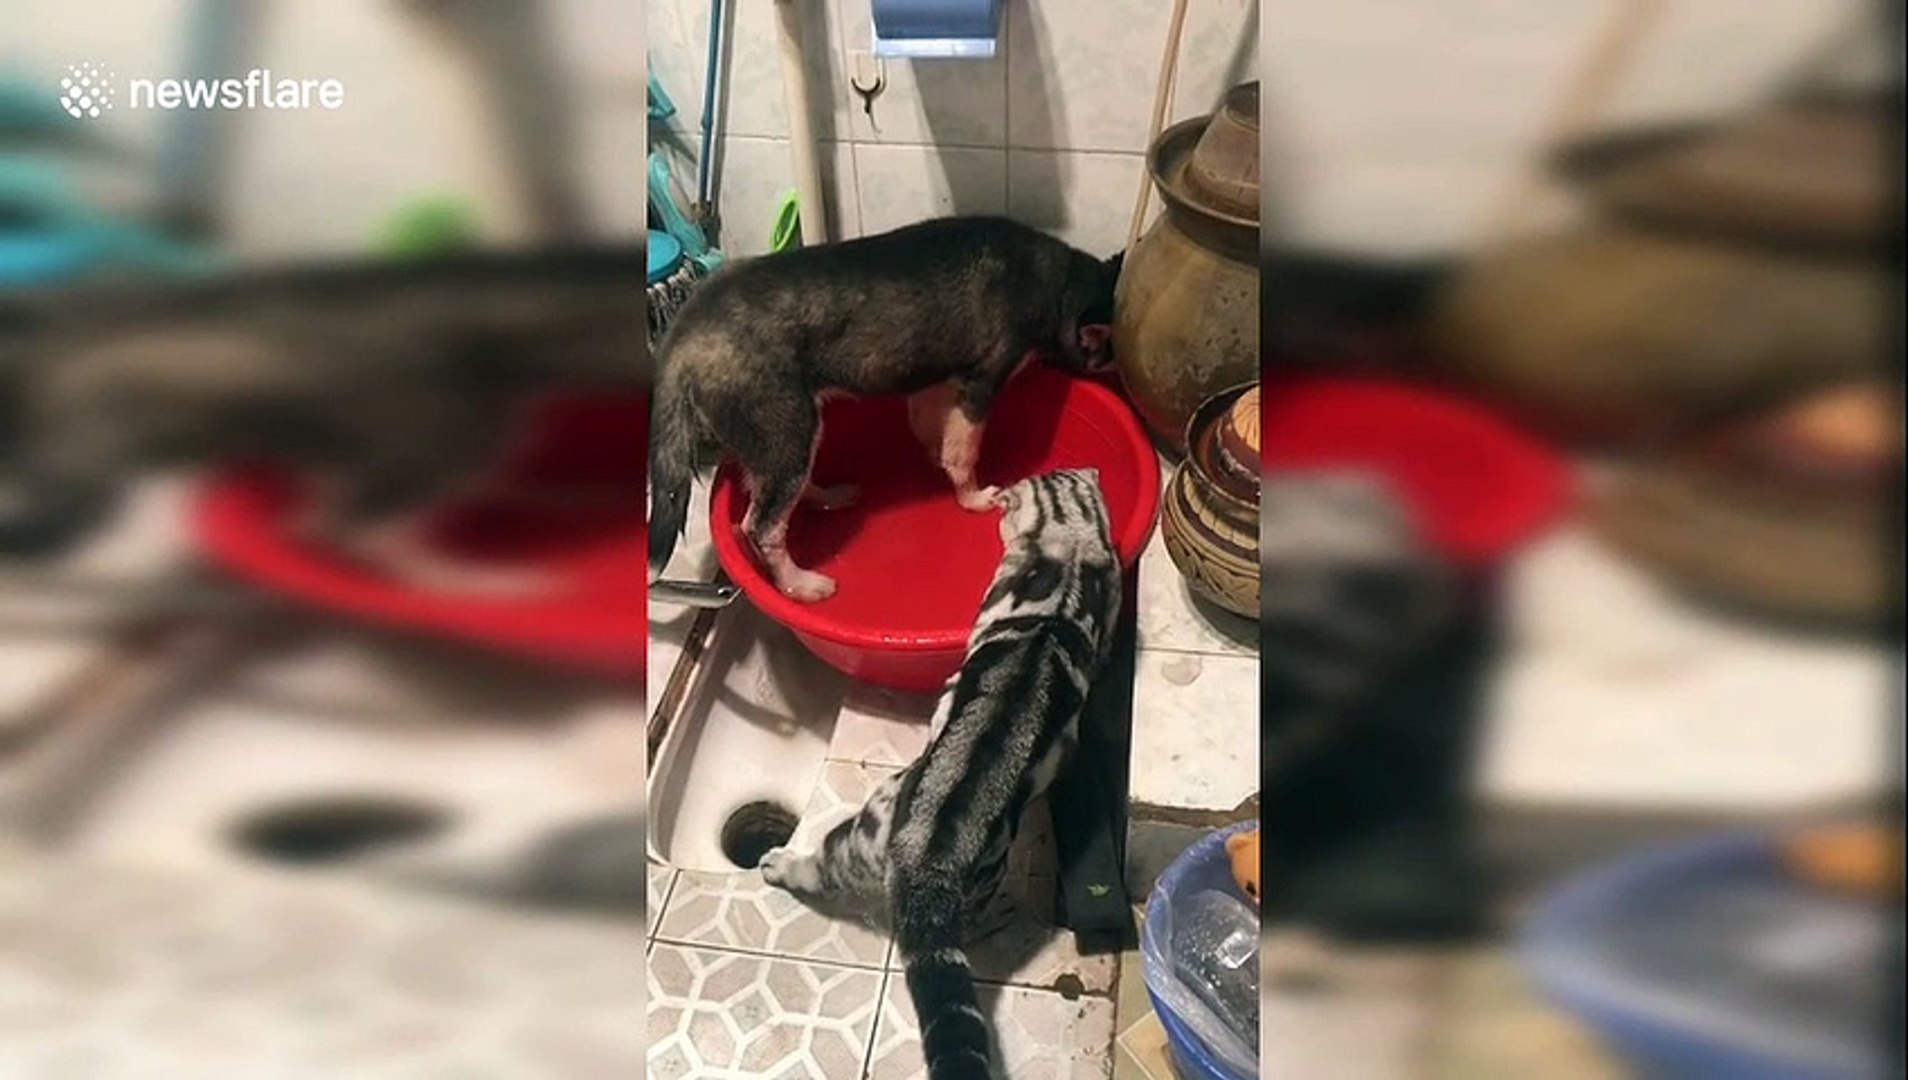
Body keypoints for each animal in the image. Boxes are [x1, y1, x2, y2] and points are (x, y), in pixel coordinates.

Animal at [647, 215, 1122, 601]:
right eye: (1112, 353)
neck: (1057, 283)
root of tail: (682, 336)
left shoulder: (933, 381)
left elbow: (935, 436)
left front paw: (936, 463)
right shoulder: (981, 383)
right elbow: (964, 454)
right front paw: (973, 499)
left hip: (780, 439)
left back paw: (828, 497)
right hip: (787, 430)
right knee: (760, 527)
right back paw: (799, 585)